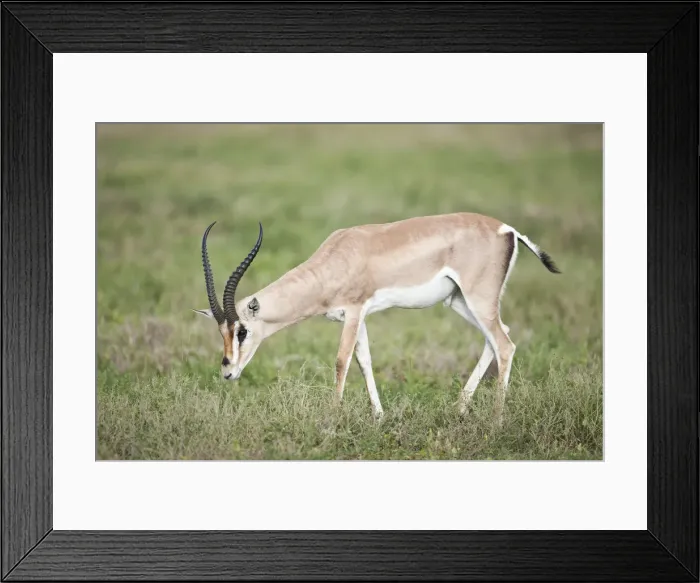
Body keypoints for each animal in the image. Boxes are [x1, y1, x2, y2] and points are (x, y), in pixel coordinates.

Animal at [194, 213, 560, 424]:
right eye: (221, 332)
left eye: (242, 331)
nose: (227, 371)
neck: (337, 260)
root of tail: (507, 229)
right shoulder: (359, 318)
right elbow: (364, 360)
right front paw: (380, 416)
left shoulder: (354, 311)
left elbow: (341, 360)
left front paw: (332, 420)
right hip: (460, 302)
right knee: (496, 340)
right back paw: (459, 409)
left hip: (477, 299)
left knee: (505, 344)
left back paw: (495, 422)